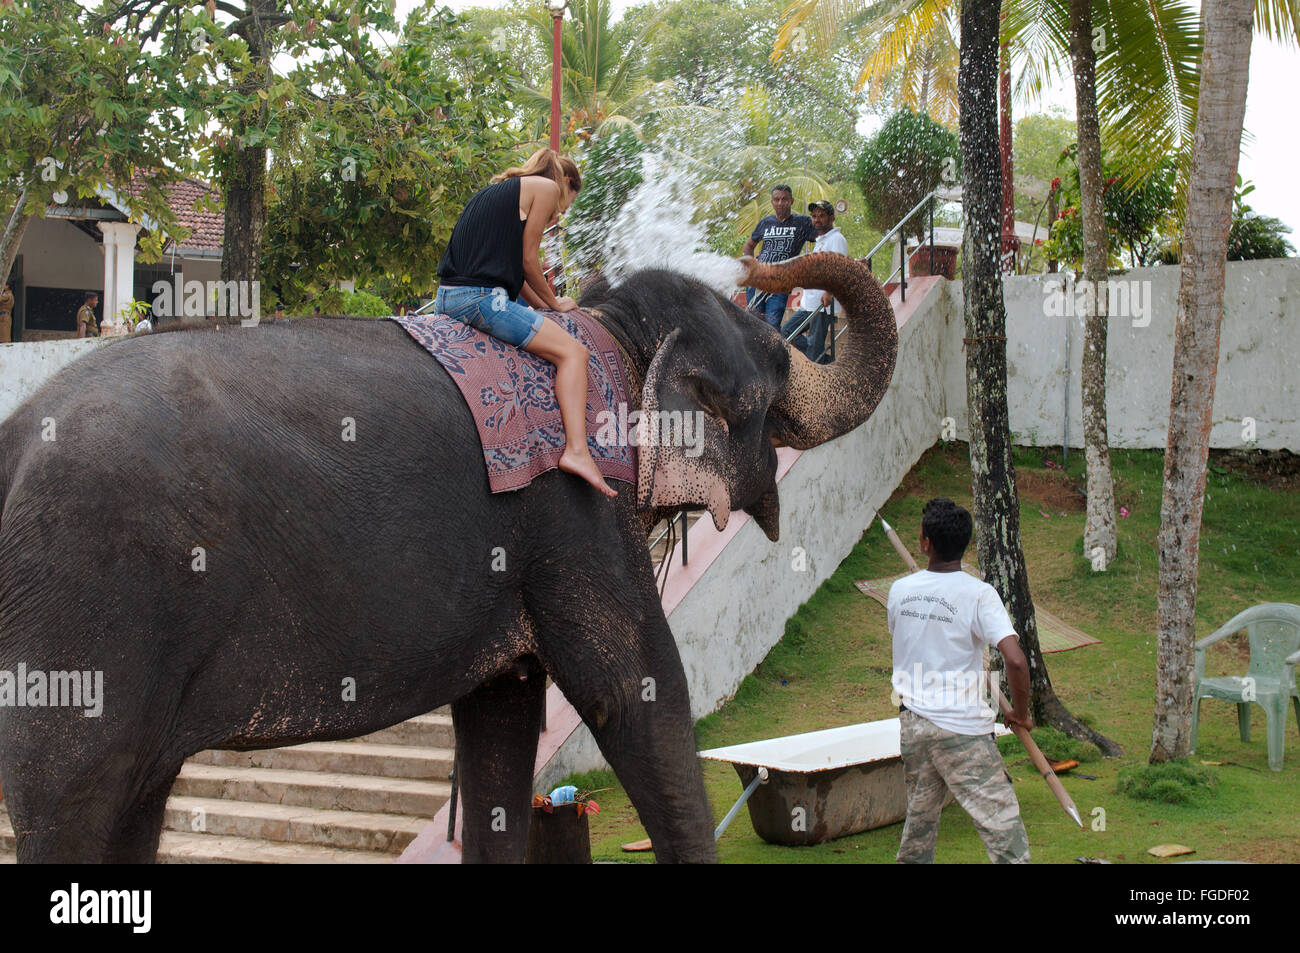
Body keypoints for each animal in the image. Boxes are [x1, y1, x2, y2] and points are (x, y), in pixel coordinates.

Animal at [0, 252, 897, 863]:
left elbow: (501, 720)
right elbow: (633, 690)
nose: (763, 255)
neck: (615, 334)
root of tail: (13, 441)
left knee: (134, 801)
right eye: (773, 369)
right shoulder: (576, 510)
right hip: (85, 605)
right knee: (72, 797)